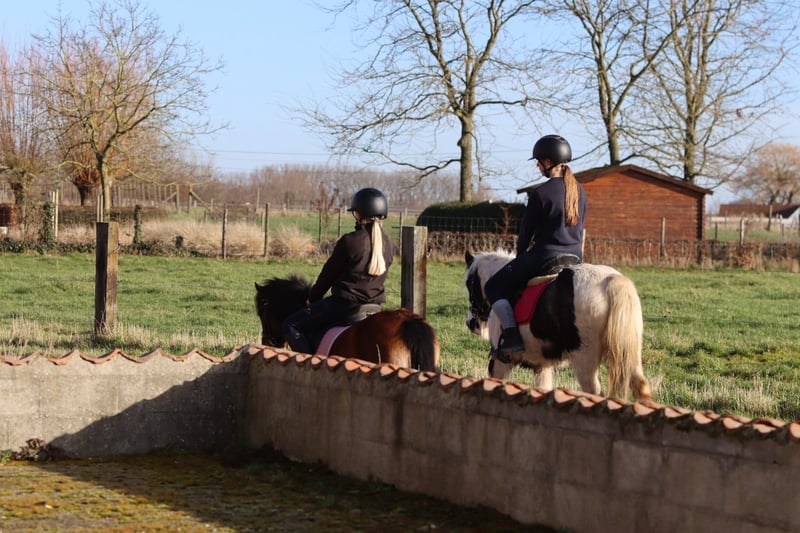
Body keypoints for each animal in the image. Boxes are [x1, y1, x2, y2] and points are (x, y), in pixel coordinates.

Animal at [464, 250, 651, 401]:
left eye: (469, 284)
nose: (470, 323)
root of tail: (610, 280)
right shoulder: (542, 365)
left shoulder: (500, 361)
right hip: (630, 356)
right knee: (641, 387)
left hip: (584, 359)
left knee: (595, 393)